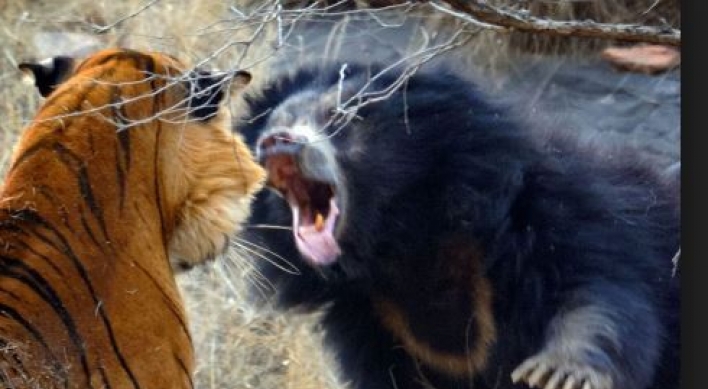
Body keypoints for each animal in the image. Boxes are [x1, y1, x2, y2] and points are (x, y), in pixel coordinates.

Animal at [238, 61, 680, 388]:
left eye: (339, 117)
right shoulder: (373, 324)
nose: (275, 142)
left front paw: (559, 373)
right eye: (275, 123)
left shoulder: (560, 211)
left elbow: (598, 295)